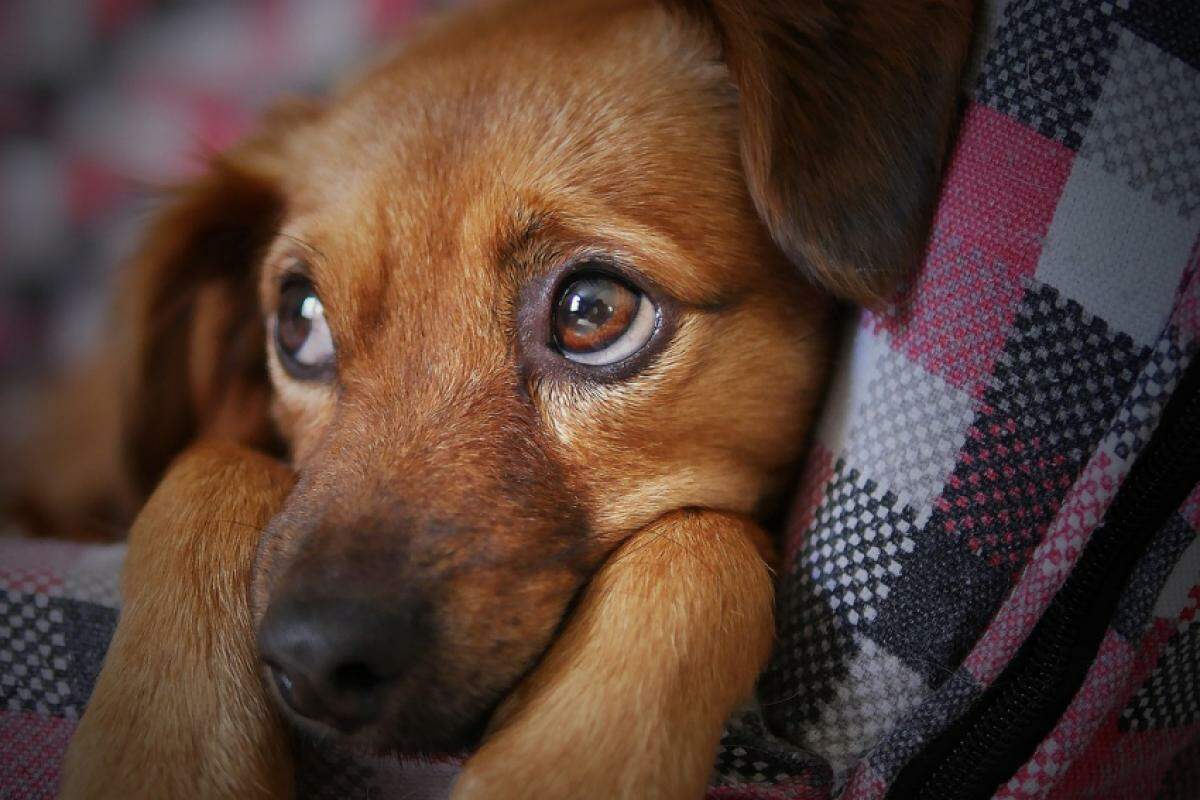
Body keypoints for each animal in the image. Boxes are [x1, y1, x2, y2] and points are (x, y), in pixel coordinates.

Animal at [44, 0, 974, 796]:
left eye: (593, 312)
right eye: (299, 320)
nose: (312, 660)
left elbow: (700, 542)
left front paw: (562, 766)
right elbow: (209, 464)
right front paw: (164, 755)